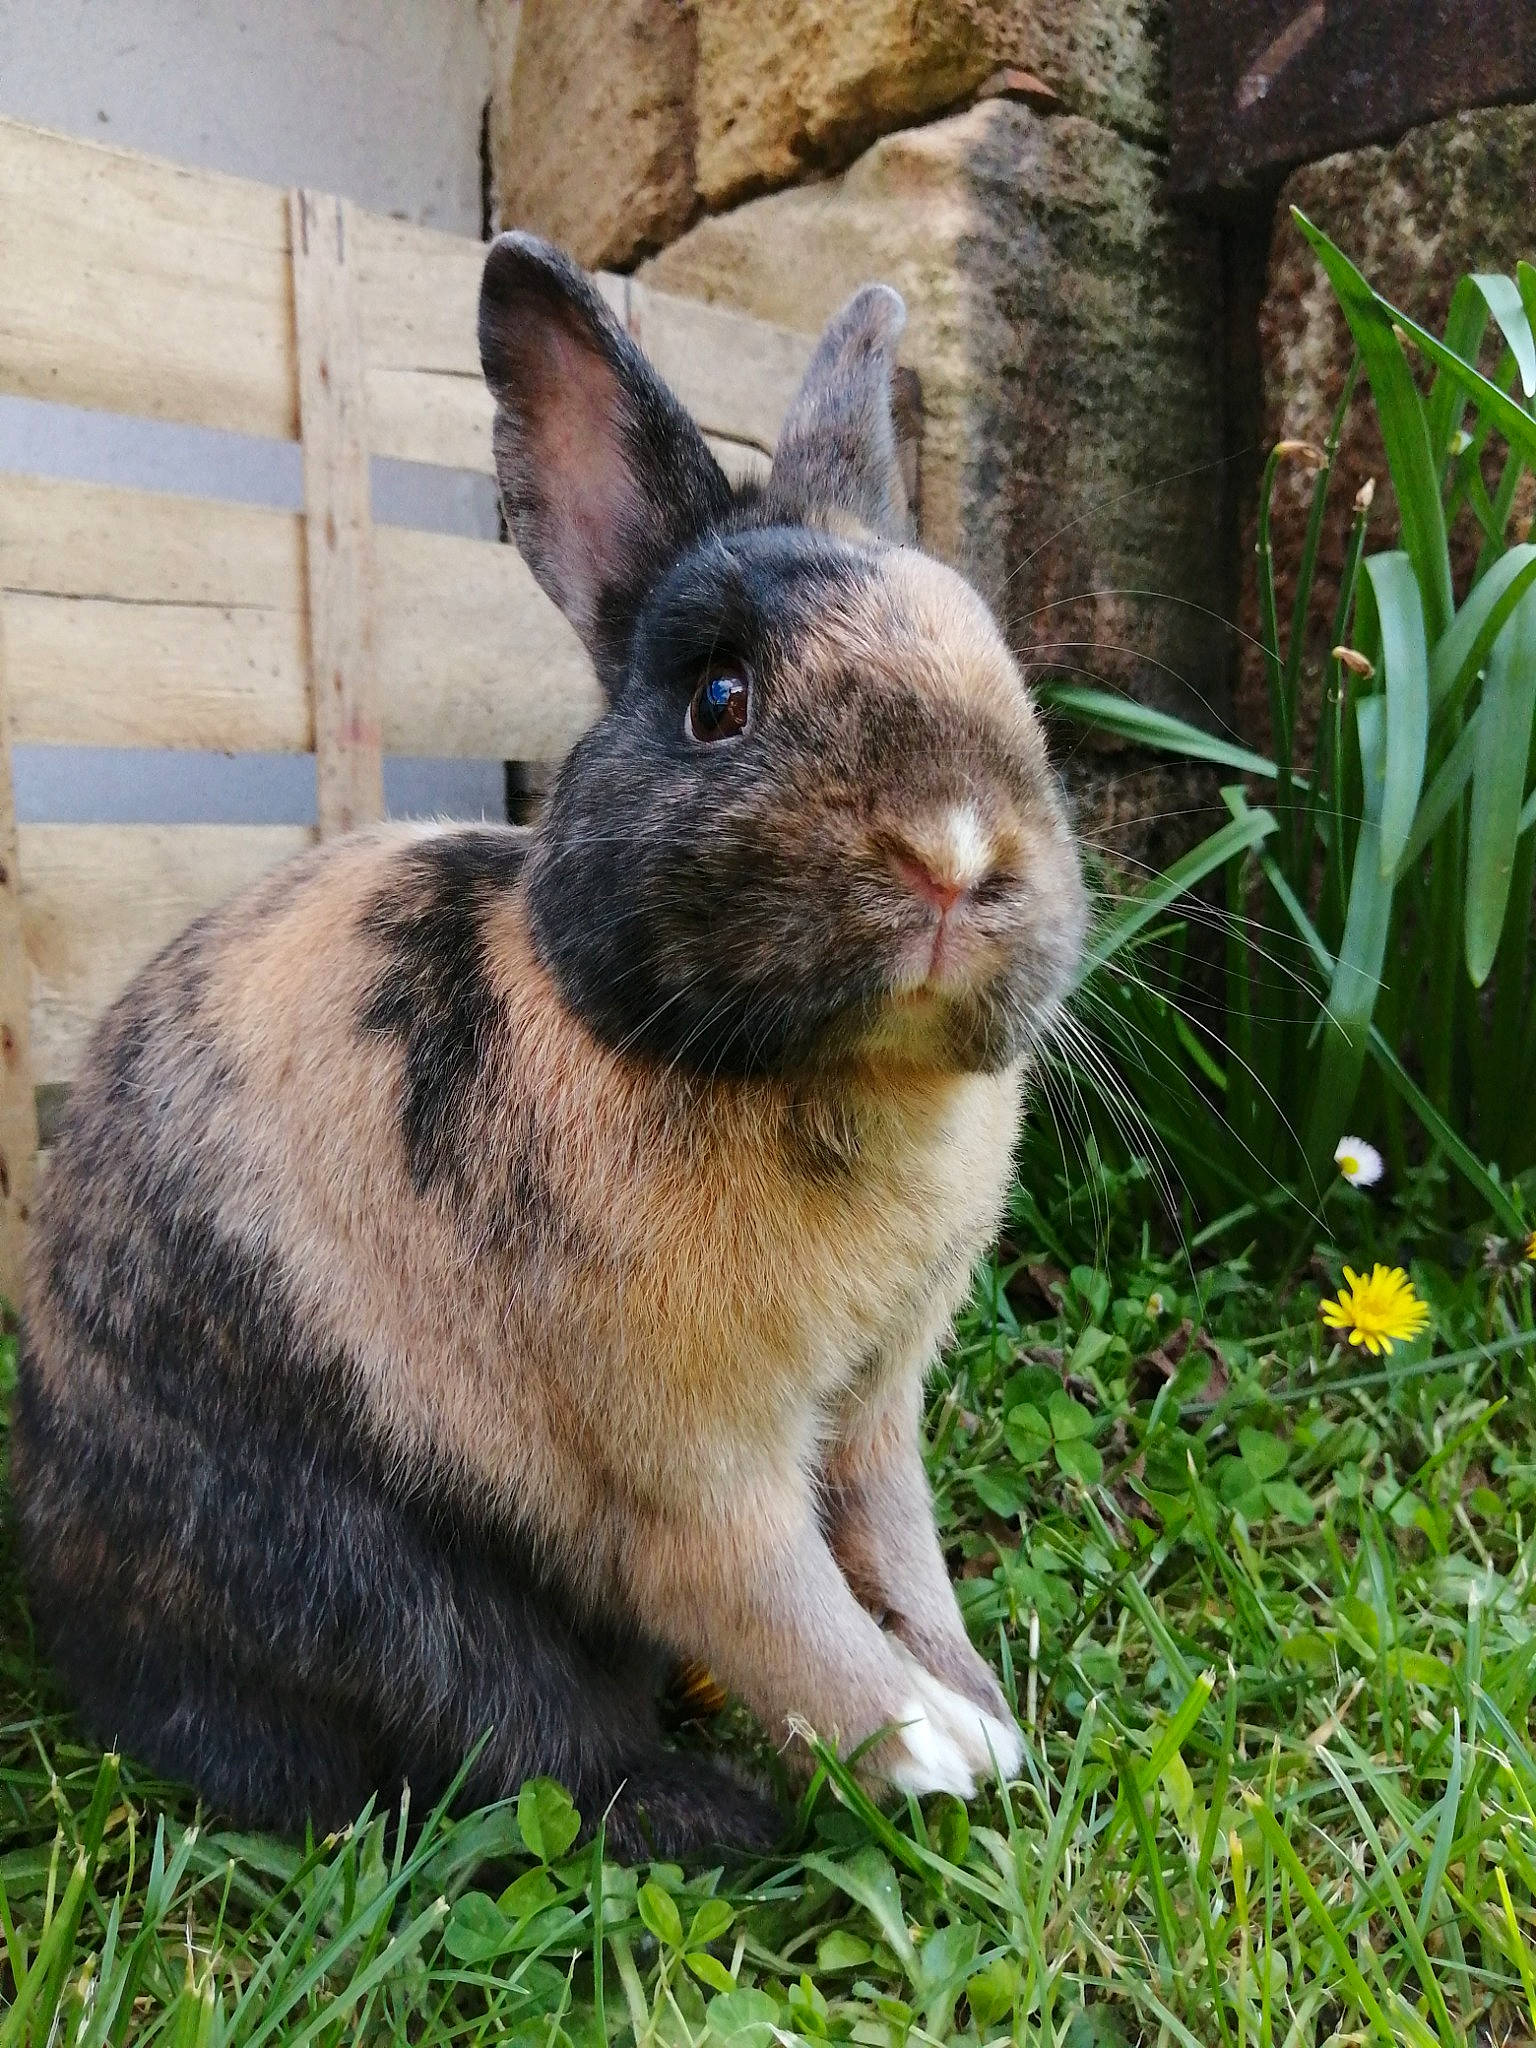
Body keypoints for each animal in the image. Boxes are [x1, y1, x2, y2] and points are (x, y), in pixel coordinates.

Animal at [10, 233, 1086, 1861]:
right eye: (719, 701)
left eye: (1003, 665)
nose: (955, 854)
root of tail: (68, 1589)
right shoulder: (688, 1472)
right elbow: (781, 1608)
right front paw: (925, 1750)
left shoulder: (874, 1415)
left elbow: (901, 1562)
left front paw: (979, 1706)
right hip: (371, 1571)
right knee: (511, 1735)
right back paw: (711, 1810)